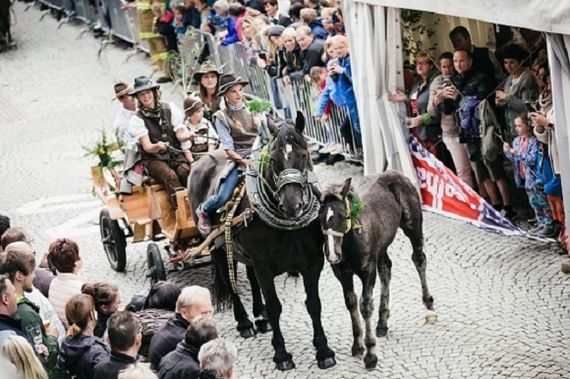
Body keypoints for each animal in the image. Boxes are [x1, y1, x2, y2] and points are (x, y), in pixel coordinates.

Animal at [189, 113, 336, 372]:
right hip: (218, 247)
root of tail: (201, 161)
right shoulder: (264, 266)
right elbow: (276, 306)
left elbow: (314, 304)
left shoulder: (312, 262)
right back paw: (245, 322)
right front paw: (282, 355)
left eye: (304, 155)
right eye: (274, 160)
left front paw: (324, 351)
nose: (293, 205)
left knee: (250, 278)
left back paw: (260, 316)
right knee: (230, 282)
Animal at [318, 171, 432, 370]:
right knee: (386, 268)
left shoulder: (367, 271)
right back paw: (382, 323)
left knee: (419, 258)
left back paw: (428, 301)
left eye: (344, 216)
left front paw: (370, 355)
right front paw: (357, 346)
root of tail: (397, 173)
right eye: (320, 218)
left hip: (413, 225)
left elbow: (365, 306)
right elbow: (351, 303)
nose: (332, 254)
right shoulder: (342, 274)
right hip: (382, 245)